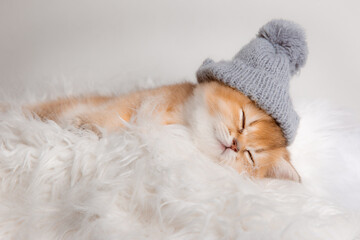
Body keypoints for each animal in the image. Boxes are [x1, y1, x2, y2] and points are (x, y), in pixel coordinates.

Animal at [26, 81, 300, 182]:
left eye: (250, 156)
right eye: (244, 121)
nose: (235, 145)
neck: (178, 119)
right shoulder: (133, 105)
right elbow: (106, 116)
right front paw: (84, 126)